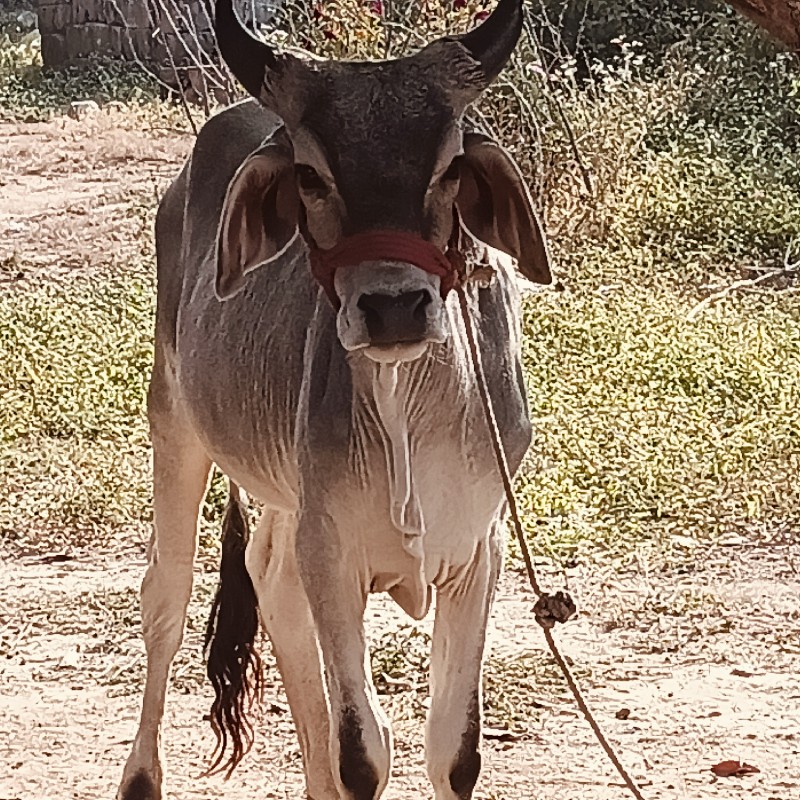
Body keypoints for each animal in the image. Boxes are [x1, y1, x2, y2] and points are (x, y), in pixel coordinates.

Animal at [119, 1, 552, 800]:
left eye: (449, 165)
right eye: (310, 176)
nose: (394, 308)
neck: (405, 404)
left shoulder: (478, 550)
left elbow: (454, 752)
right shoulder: (333, 554)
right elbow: (363, 753)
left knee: (268, 574)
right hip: (176, 421)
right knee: (166, 593)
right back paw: (140, 774)